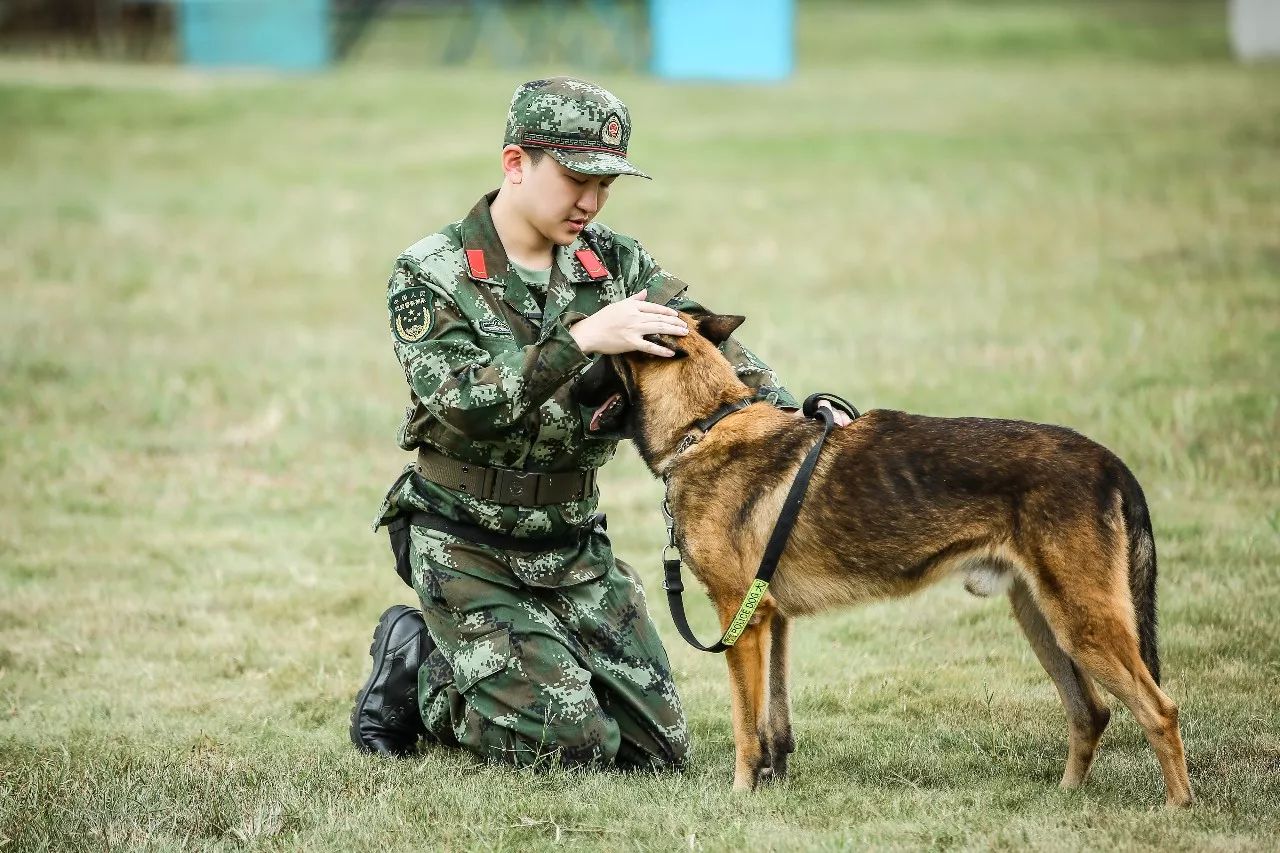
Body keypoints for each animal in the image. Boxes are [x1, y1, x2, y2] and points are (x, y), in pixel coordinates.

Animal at [576, 311, 1192, 804]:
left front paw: (740, 795)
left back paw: (1176, 808)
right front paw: (774, 785)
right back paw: (1065, 799)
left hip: (1083, 625)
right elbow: (775, 721)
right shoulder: (771, 619)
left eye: (602, 357)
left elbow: (745, 726)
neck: (705, 425)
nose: (566, 374)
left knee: (1159, 710)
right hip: (1044, 620)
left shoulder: (740, 621)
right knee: (1092, 711)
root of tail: (1110, 462)